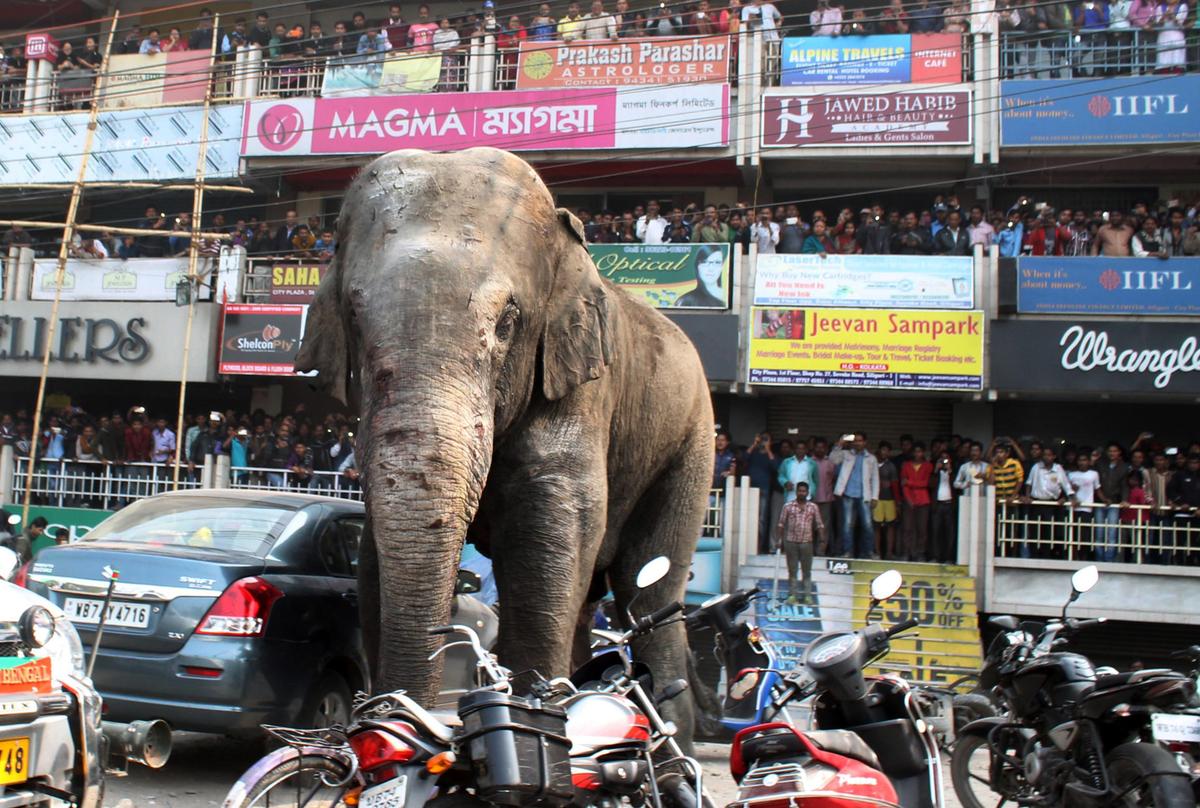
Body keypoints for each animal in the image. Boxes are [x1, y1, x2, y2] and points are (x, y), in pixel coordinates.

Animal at [295, 147, 713, 742]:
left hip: (690, 441)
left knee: (649, 588)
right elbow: (374, 559)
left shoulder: (579, 387)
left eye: (508, 323)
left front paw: (538, 715)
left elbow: (548, 535)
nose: (397, 714)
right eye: (354, 317)